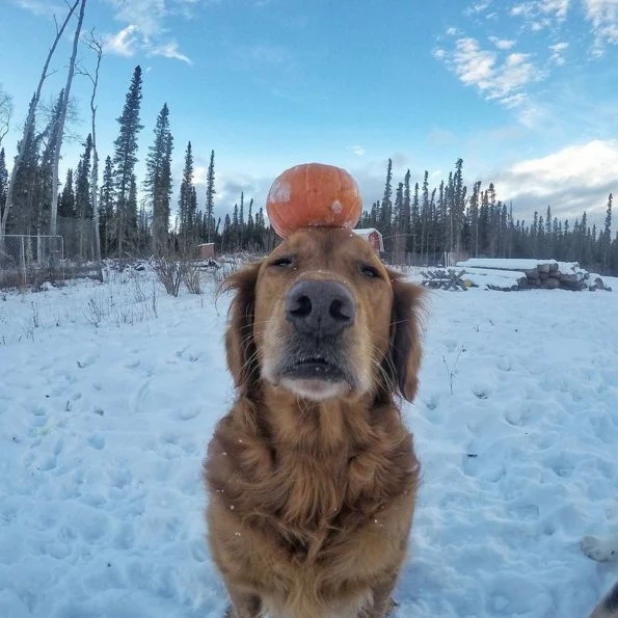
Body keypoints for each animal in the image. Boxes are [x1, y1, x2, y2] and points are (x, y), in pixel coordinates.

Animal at [205, 227, 422, 616]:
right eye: (283, 262)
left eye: (370, 271)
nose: (321, 306)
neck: (313, 458)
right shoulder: (241, 584)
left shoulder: (380, 579)